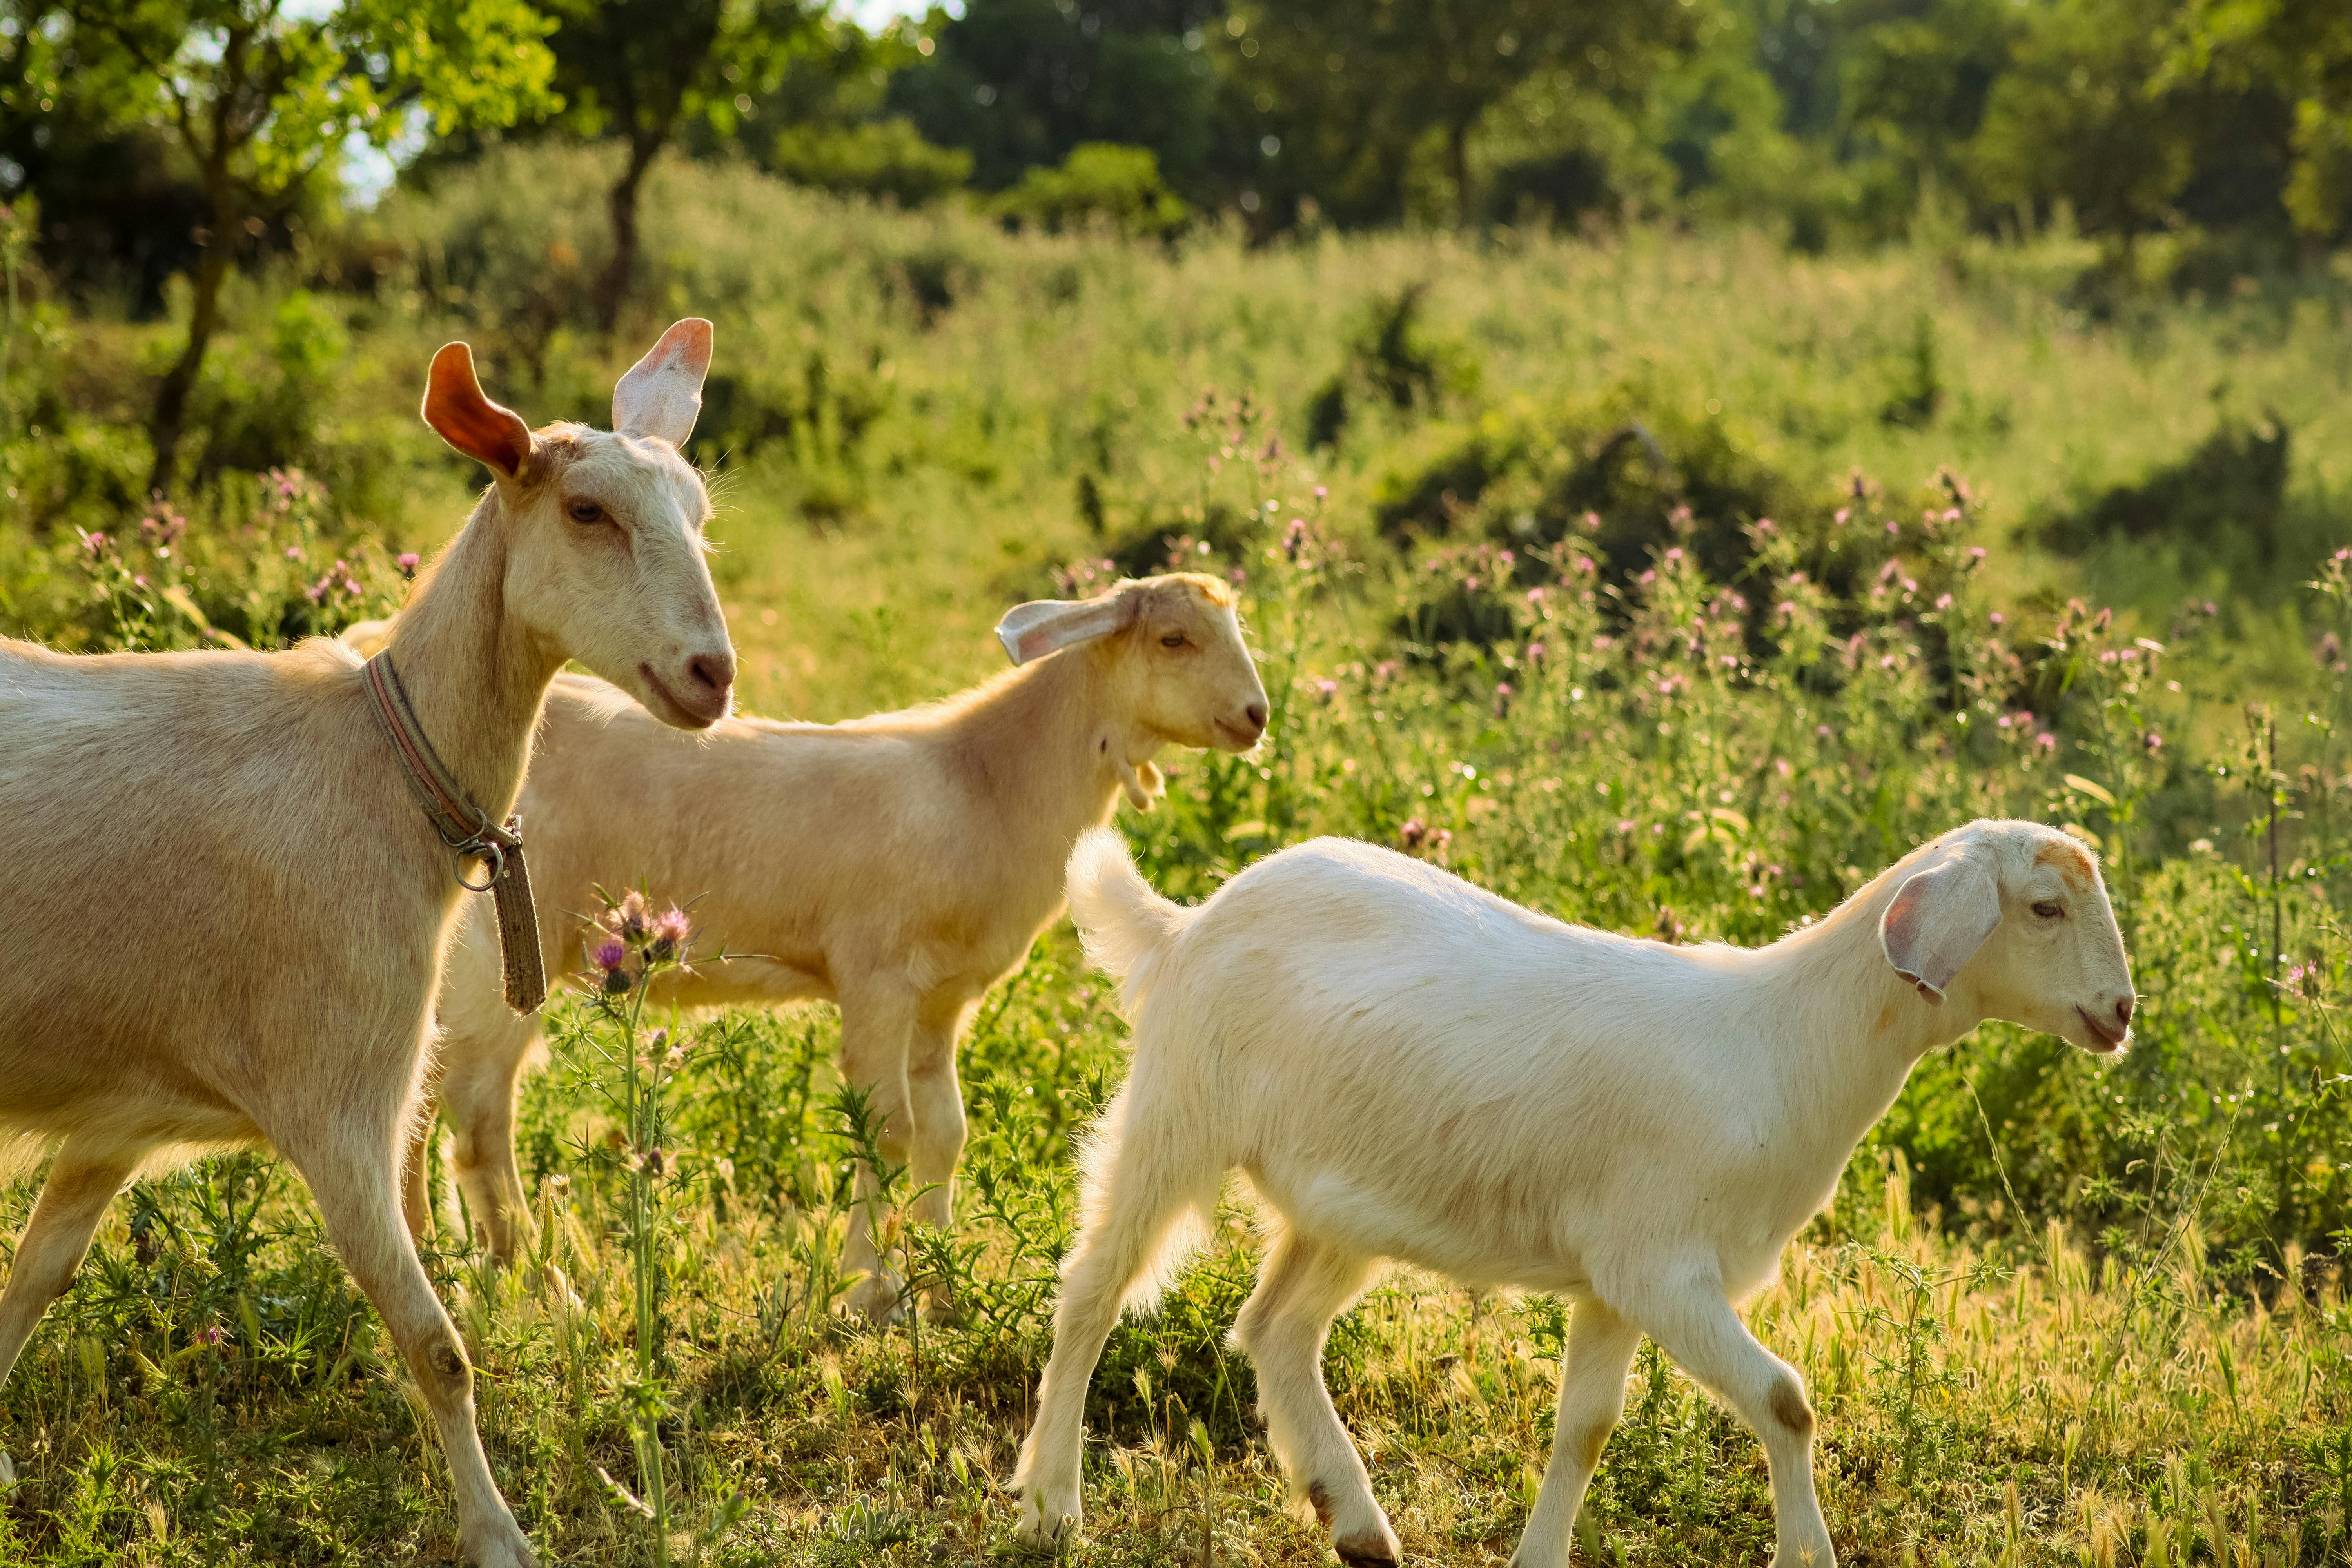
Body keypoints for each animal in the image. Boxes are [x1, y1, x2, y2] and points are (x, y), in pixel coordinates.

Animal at [0, 323, 737, 1568]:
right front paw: (498, 1537)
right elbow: (438, 1347)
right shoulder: (337, 1101)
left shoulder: (117, 1115)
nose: (711, 675)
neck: (386, 768)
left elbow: (31, 1280)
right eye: (586, 510)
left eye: (700, 511)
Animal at [405, 572, 1269, 1320]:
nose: (1257, 714)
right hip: (513, 947)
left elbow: (945, 1132)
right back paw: (542, 1287)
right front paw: (871, 1290)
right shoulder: (877, 975)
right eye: (1173, 638)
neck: (982, 783)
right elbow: (886, 1128)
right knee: (478, 1116)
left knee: (416, 1099)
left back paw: (438, 1262)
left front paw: (941, 1284)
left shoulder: (943, 997)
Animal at [1015, 820, 2137, 1567]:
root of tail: (1185, 920)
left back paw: (1356, 1520)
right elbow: (1787, 1397)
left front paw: (1540, 1555)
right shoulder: (1662, 1268)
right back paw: (1053, 1503)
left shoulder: (1615, 1281)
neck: (1783, 1042)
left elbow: (1585, 1427)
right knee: (1093, 1291)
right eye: (2045, 908)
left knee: (1274, 1328)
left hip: (1343, 1199)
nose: (2122, 1012)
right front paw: (1807, 1554)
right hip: (1178, 1112)